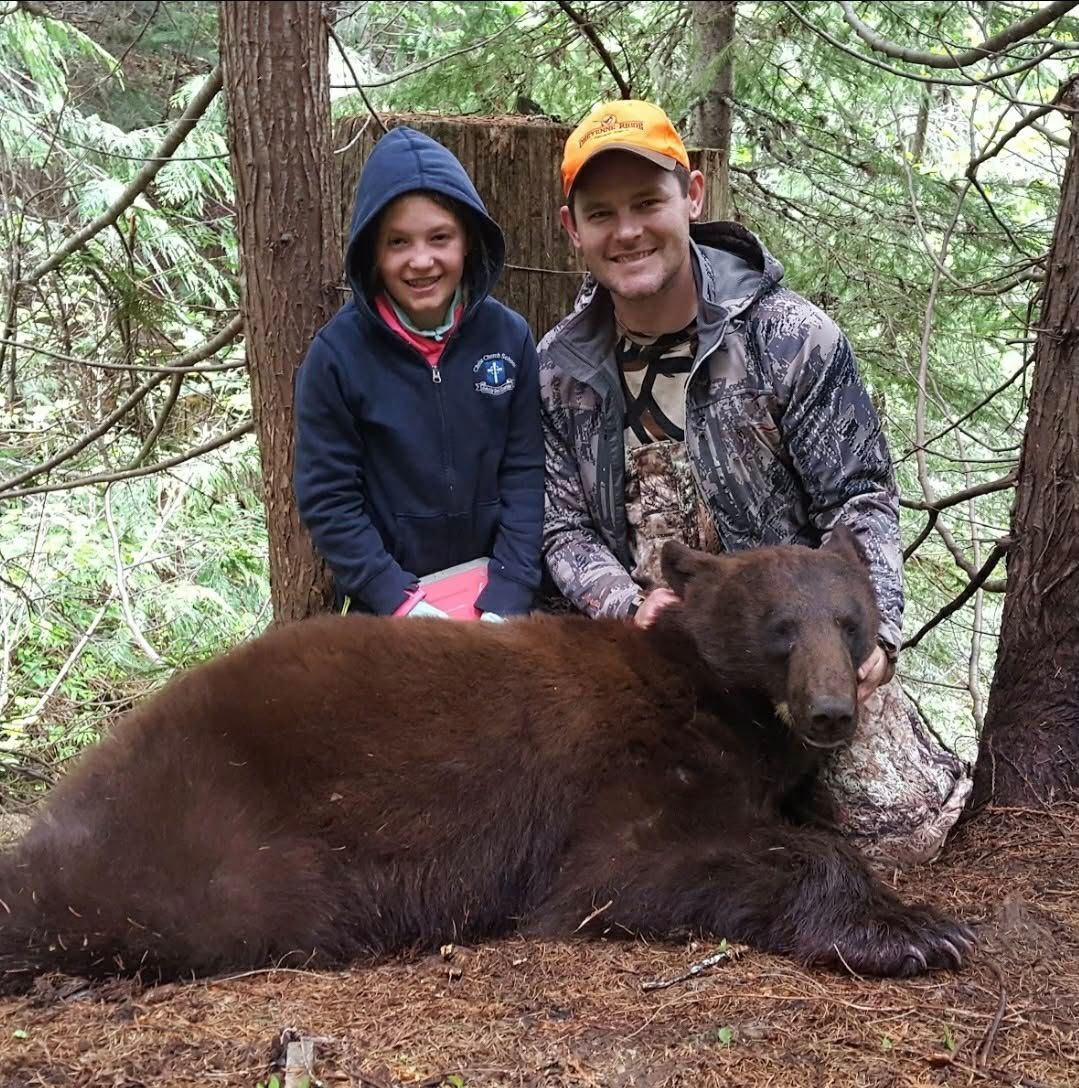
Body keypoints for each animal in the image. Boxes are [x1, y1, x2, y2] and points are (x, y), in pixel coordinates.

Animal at [0, 527, 975, 994]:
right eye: (779, 630)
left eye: (847, 622)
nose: (829, 712)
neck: (707, 692)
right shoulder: (628, 773)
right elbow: (626, 870)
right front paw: (918, 930)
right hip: (216, 835)